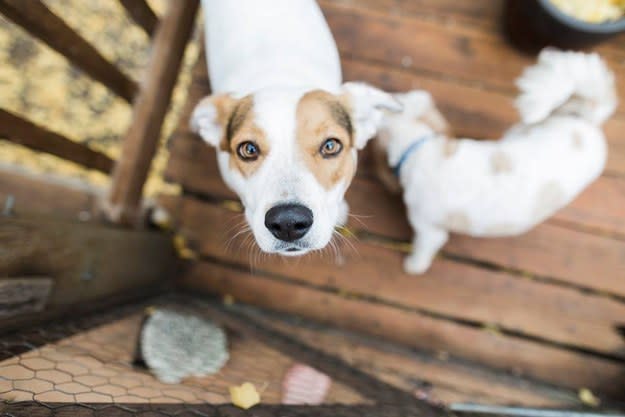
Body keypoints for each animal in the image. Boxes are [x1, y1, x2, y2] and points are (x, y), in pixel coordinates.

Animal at [376, 49, 616, 272]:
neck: (421, 148)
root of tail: (587, 121)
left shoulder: (428, 229)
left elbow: (422, 250)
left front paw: (413, 266)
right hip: (522, 131)